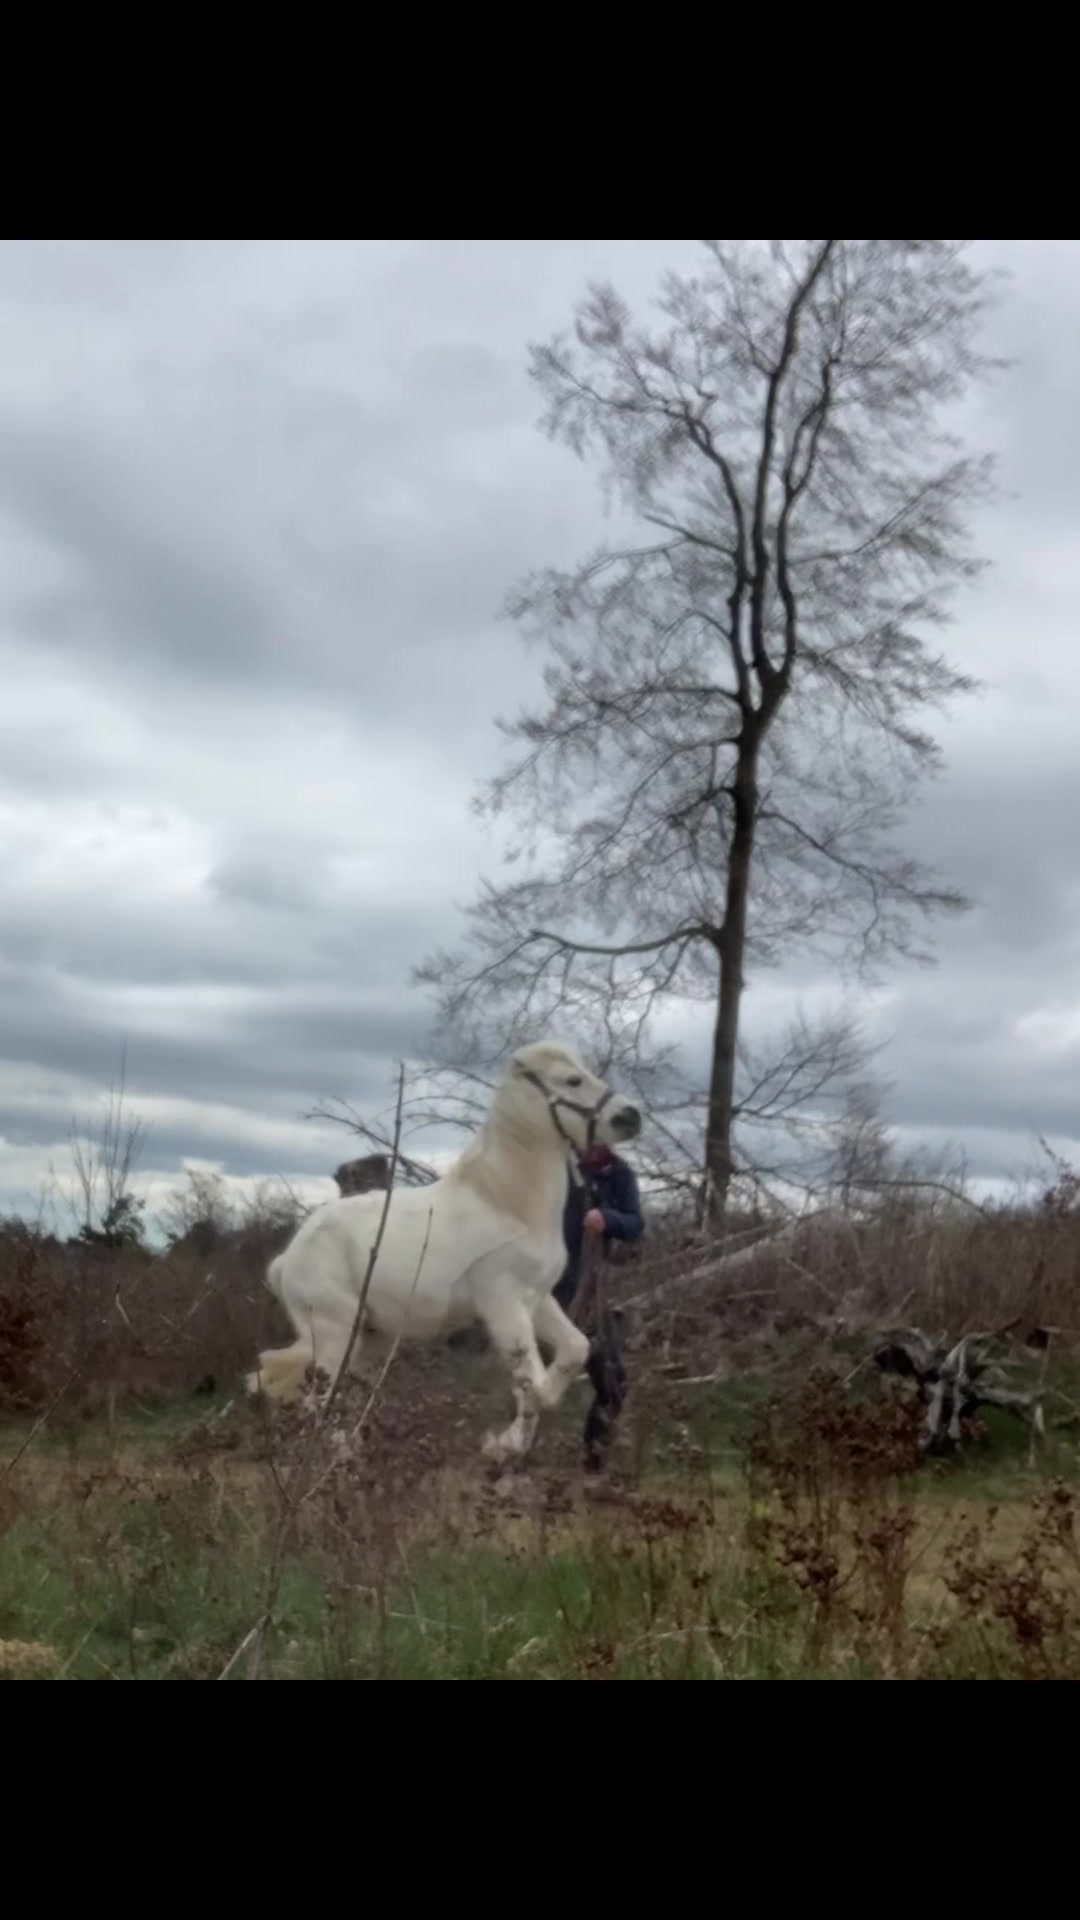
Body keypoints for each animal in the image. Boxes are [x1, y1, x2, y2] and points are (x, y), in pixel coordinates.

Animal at [247, 1040, 642, 1464]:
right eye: (572, 1080)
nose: (631, 1117)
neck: (505, 1201)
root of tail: (287, 1259)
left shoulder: (537, 1299)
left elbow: (574, 1349)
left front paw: (511, 1442)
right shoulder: (502, 1303)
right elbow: (529, 1382)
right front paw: (504, 1445)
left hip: (368, 1339)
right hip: (335, 1333)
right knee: (319, 1404)